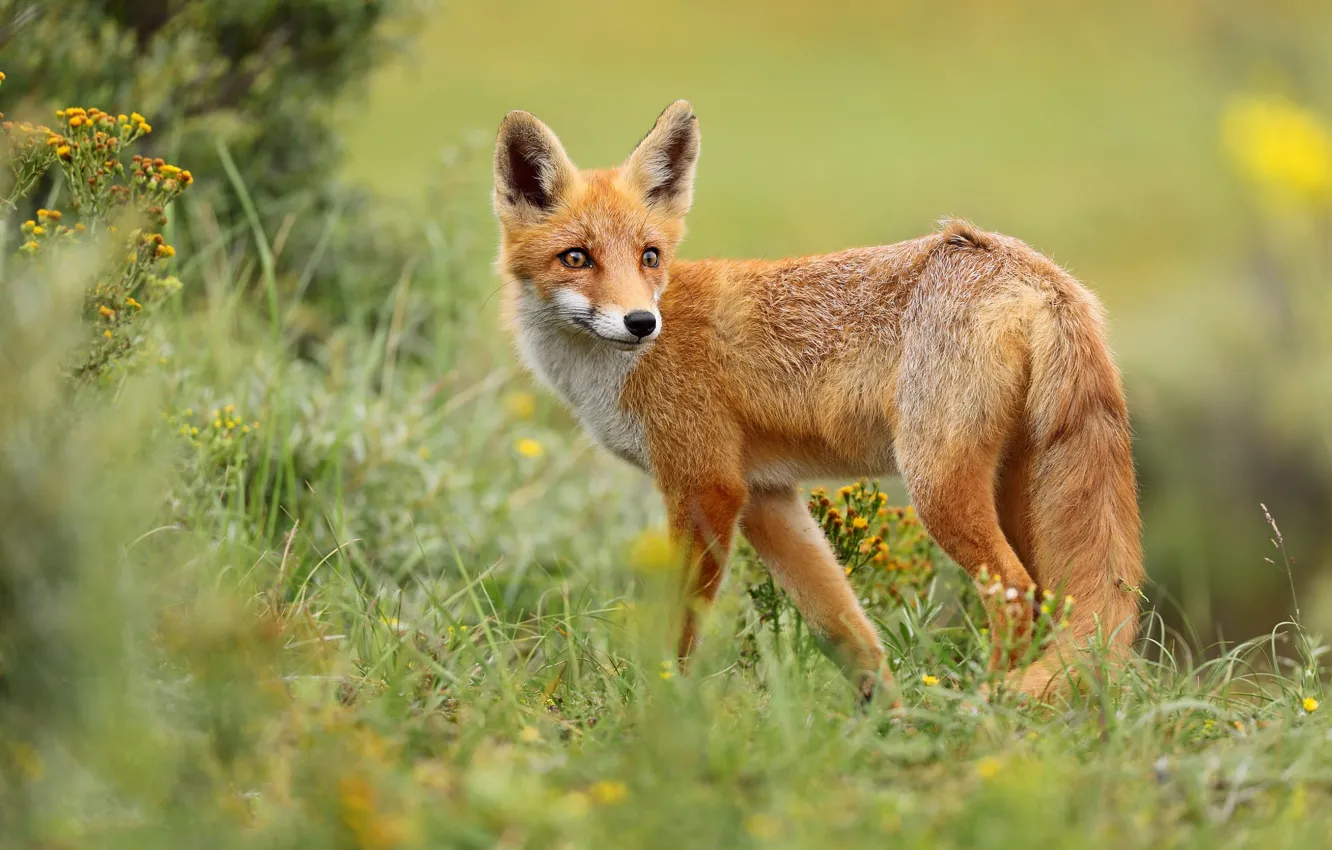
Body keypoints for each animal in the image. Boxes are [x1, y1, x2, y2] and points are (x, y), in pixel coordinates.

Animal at [491, 100, 1144, 702]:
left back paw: (989, 704)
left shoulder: (705, 485)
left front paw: (657, 706)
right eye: (577, 258)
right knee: (1048, 602)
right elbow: (844, 629)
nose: (640, 322)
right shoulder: (765, 496)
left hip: (936, 484)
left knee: (1013, 594)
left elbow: (680, 628)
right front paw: (888, 717)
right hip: (1016, 489)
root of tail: (1035, 270)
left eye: (650, 256)